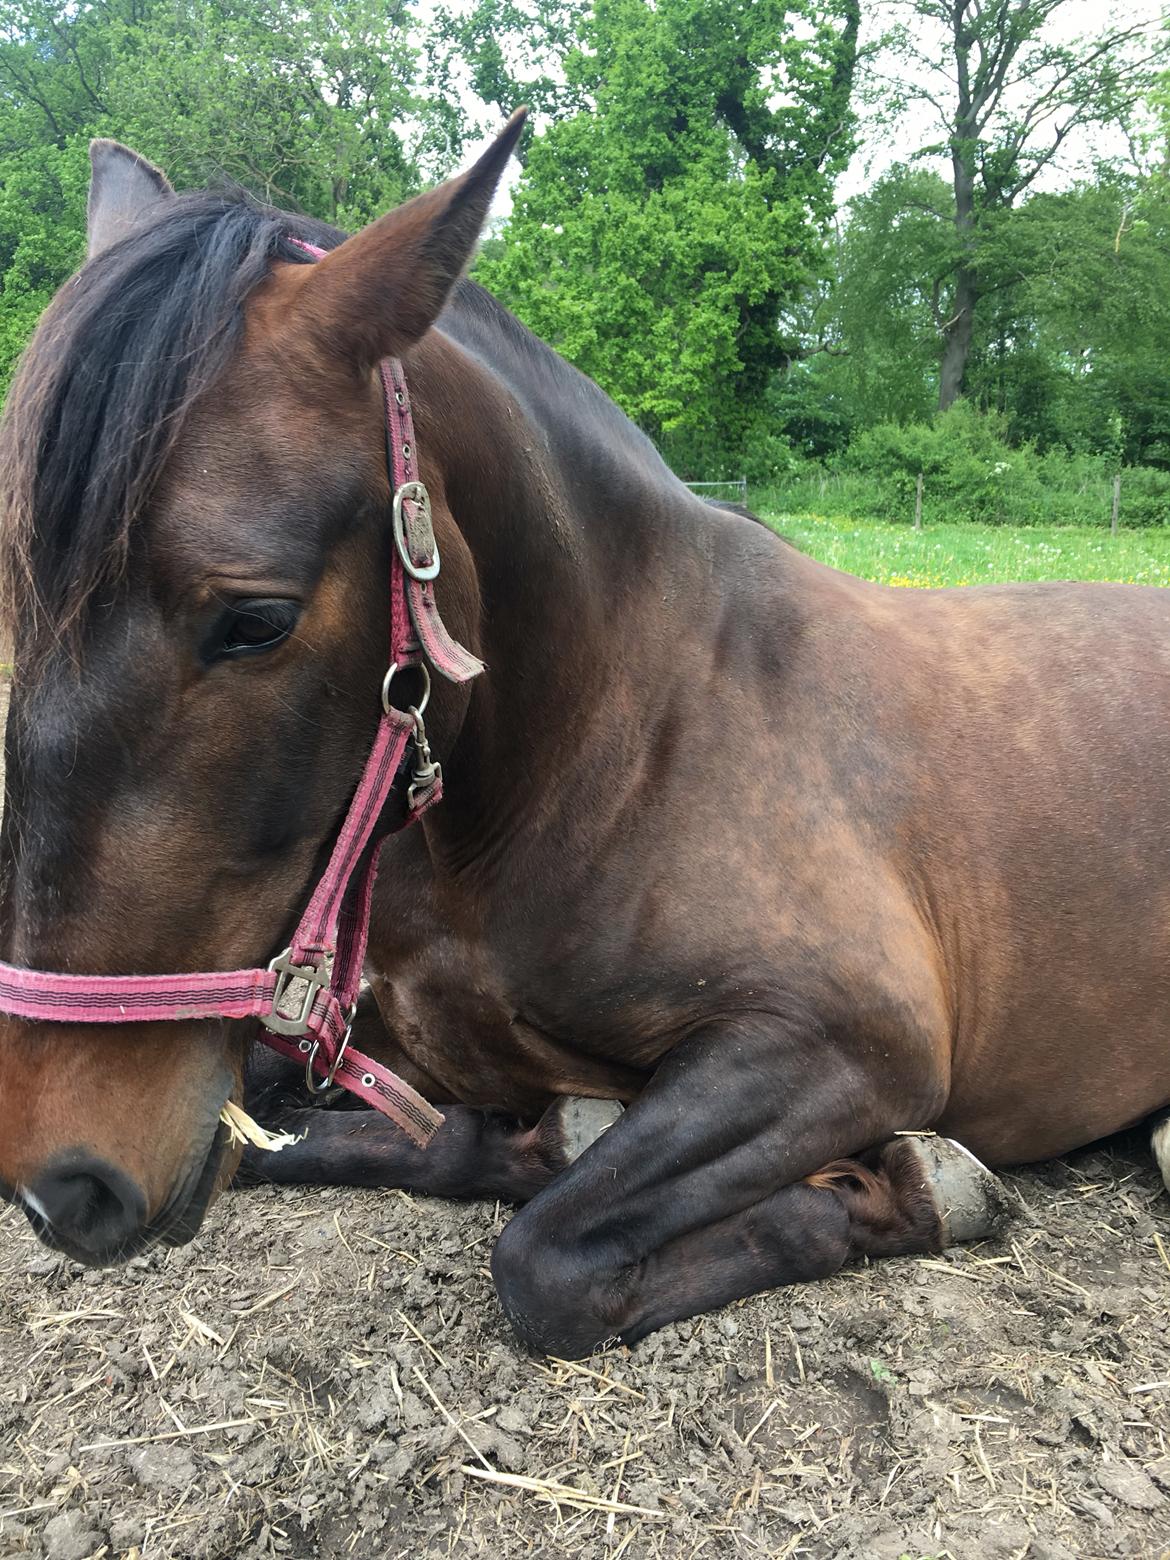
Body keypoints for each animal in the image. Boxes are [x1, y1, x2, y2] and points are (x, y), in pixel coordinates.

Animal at [0, 121, 1166, 1360]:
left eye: (255, 619)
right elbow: (351, 1133)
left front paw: (908, 1186)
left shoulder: (850, 1040)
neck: (605, 745)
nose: (63, 1185)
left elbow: (545, 1258)